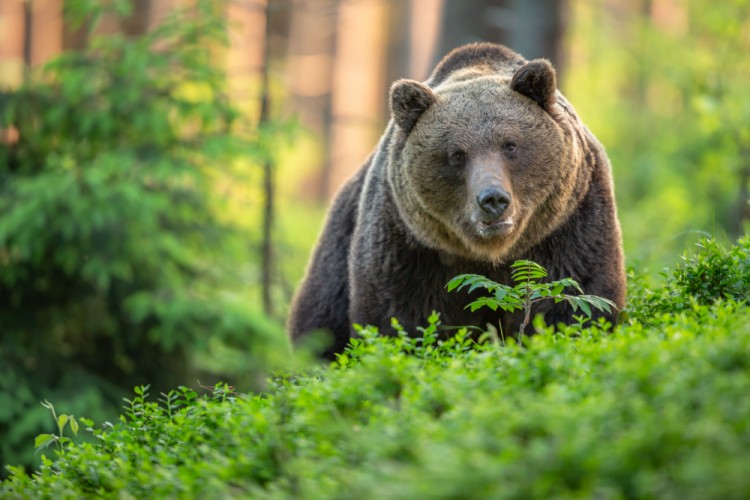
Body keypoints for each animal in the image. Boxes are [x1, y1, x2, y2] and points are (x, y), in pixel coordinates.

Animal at [288, 42, 628, 356]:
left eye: (510, 144)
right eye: (456, 154)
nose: (493, 199)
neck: (487, 254)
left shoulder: (567, 226)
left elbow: (573, 302)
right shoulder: (411, 245)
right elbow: (403, 319)